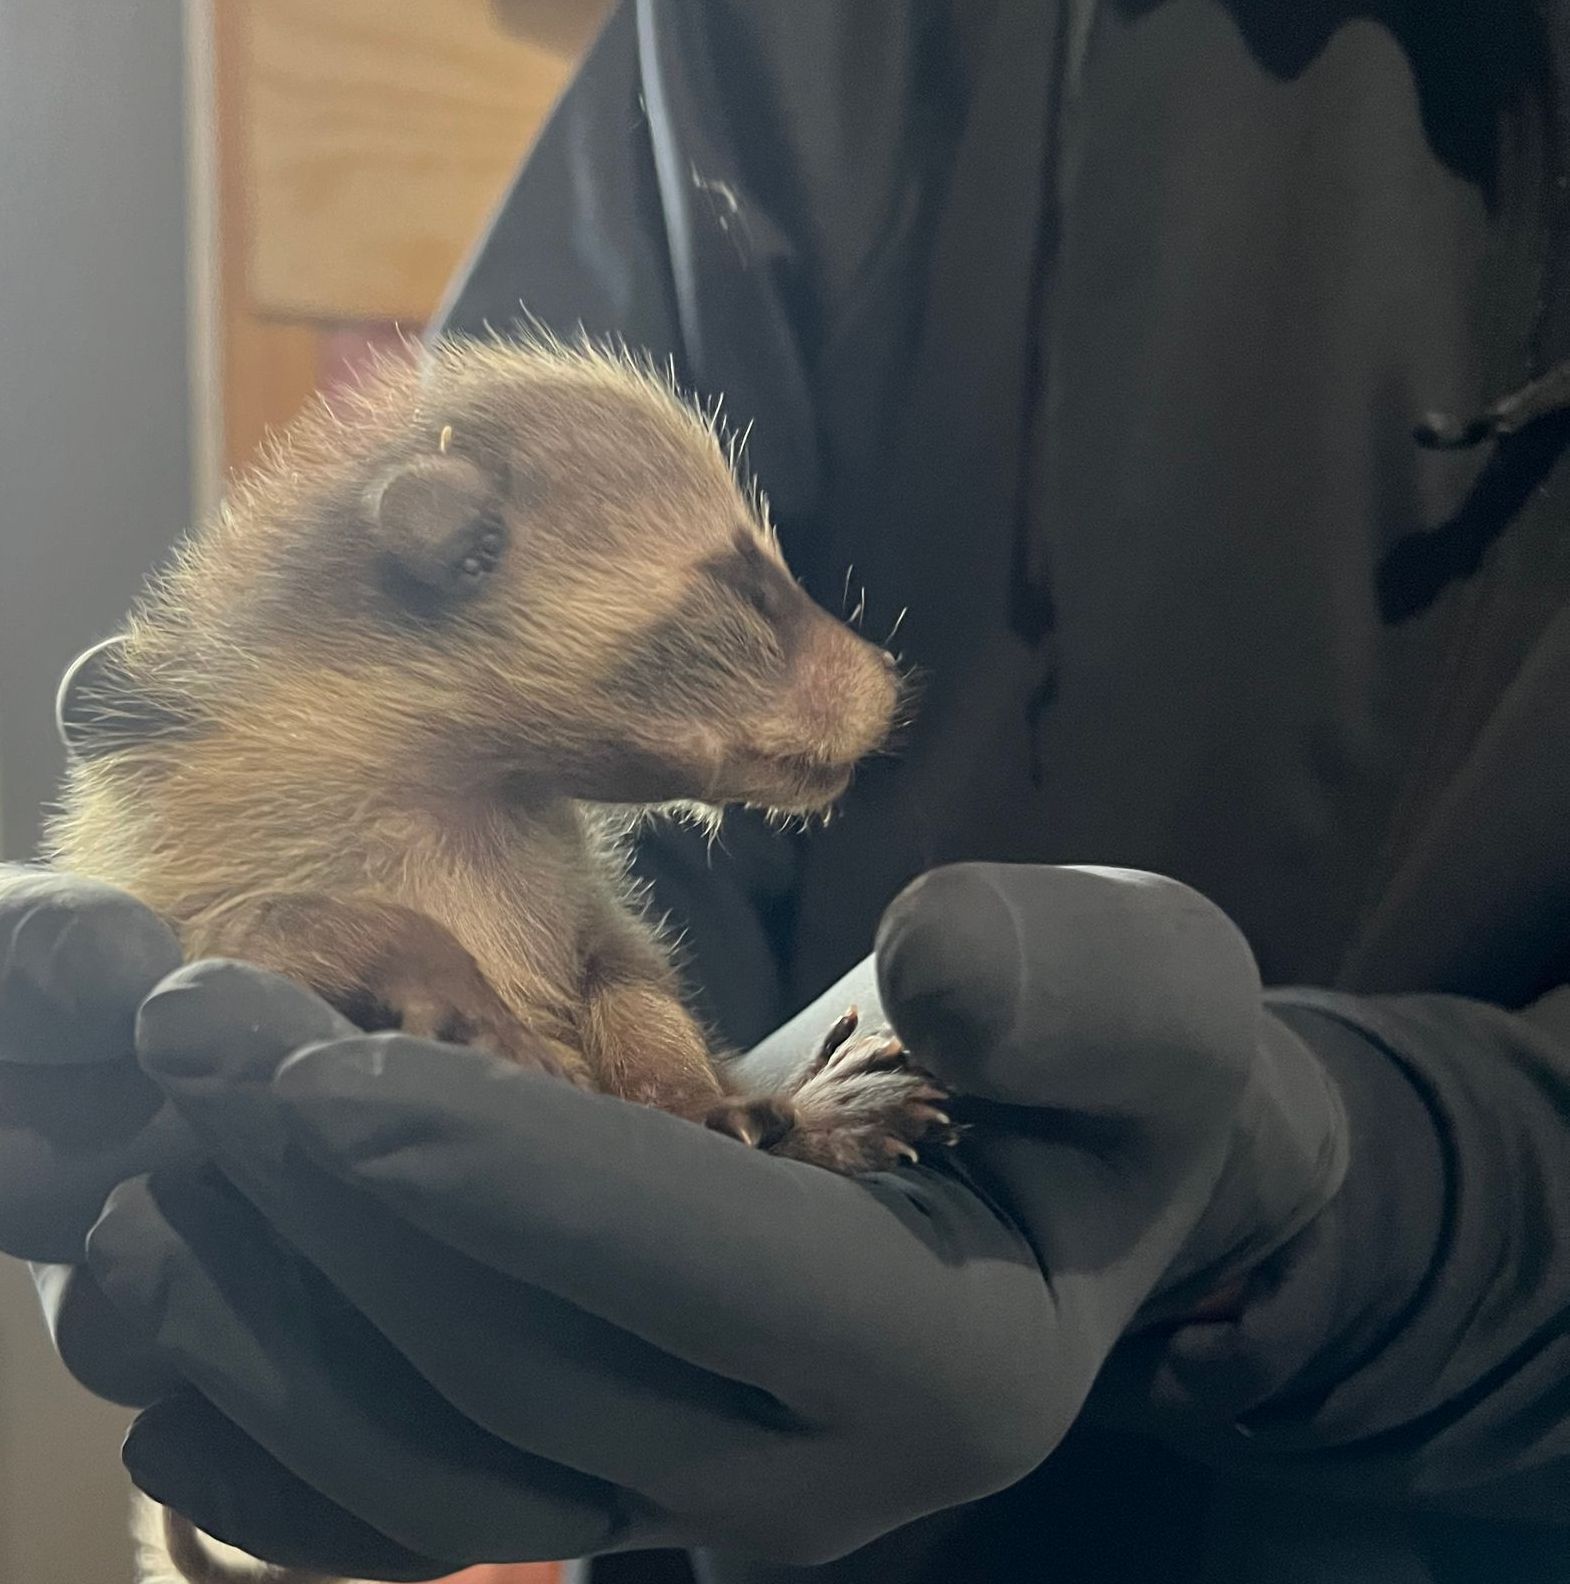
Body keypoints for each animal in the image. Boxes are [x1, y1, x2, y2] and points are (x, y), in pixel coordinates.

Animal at [49, 337, 950, 1584]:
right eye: (746, 582)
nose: (891, 680)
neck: (459, 758)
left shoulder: (562, 865)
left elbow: (622, 968)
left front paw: (677, 1078)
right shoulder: (220, 835)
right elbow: (272, 924)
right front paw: (443, 973)